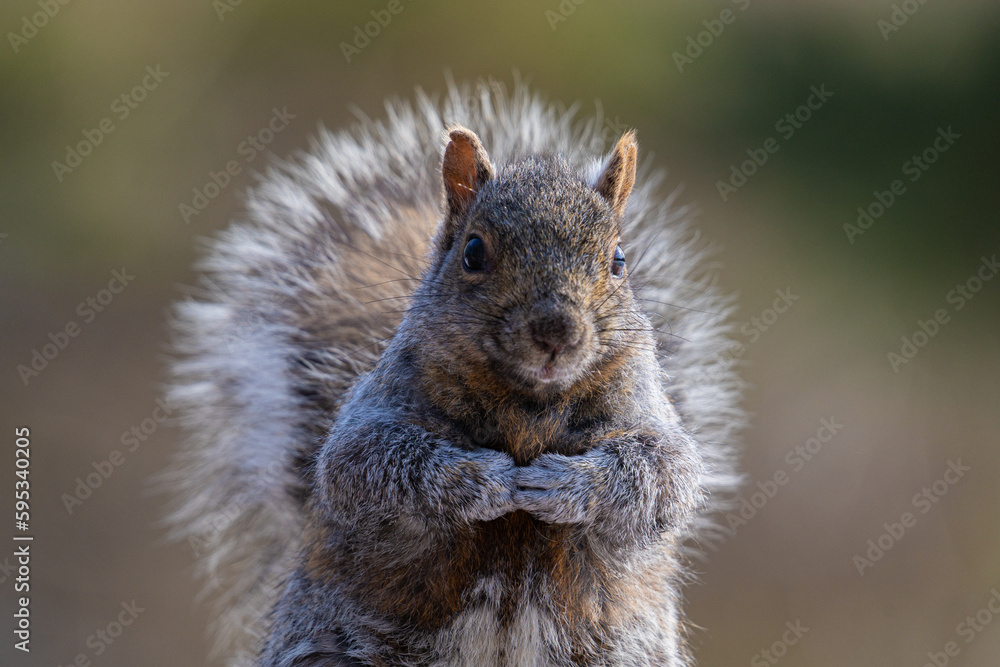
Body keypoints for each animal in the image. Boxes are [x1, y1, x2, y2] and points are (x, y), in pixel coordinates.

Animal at [162, 80, 744, 667]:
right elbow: (369, 464)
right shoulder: (376, 410)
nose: (556, 331)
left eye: (619, 261)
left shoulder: (643, 409)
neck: (528, 404)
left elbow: (662, 473)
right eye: (473, 252)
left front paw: (565, 483)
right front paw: (481, 480)